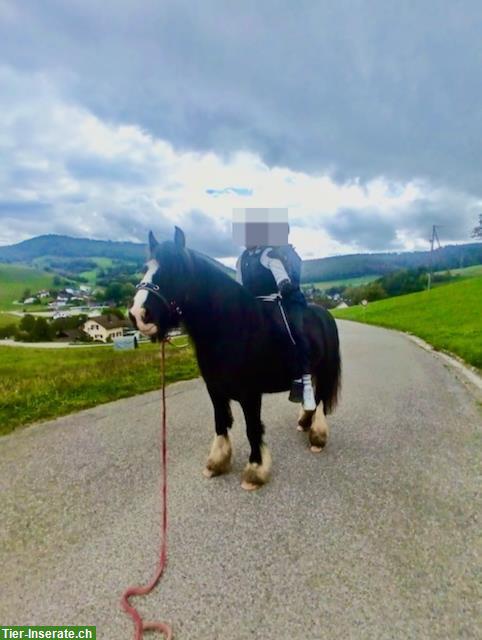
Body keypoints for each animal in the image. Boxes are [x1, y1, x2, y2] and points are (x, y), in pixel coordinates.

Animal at [130, 229, 340, 490]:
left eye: (175, 268)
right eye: (145, 268)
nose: (138, 315)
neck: (231, 328)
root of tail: (322, 313)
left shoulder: (250, 394)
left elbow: (252, 429)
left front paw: (255, 471)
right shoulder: (215, 390)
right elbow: (220, 422)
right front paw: (216, 462)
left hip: (322, 371)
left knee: (319, 400)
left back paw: (317, 437)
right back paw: (304, 422)